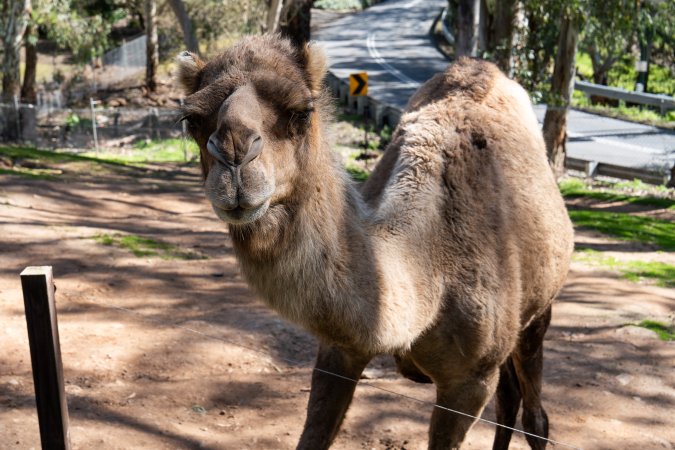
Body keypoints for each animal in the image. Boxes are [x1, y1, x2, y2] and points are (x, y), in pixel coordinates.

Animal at [175, 34, 574, 450]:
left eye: (301, 112)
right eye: (191, 119)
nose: (234, 155)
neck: (431, 269)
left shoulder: (471, 380)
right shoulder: (340, 349)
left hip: (538, 312)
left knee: (535, 415)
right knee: (510, 399)